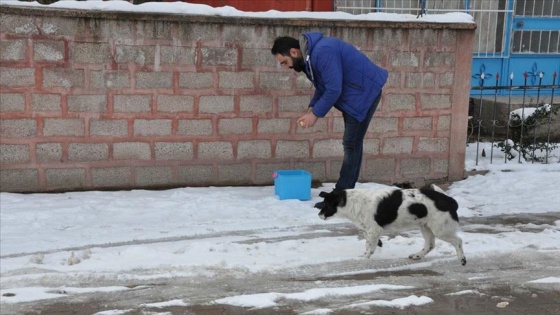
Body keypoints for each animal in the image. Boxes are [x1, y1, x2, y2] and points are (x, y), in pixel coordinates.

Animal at [316, 185, 468, 266]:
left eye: (326, 205)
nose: (319, 215)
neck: (351, 202)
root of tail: (450, 200)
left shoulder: (374, 229)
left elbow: (369, 247)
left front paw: (364, 257)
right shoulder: (369, 231)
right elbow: (371, 243)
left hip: (440, 229)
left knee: (458, 241)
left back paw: (462, 259)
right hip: (426, 226)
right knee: (430, 245)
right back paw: (417, 255)